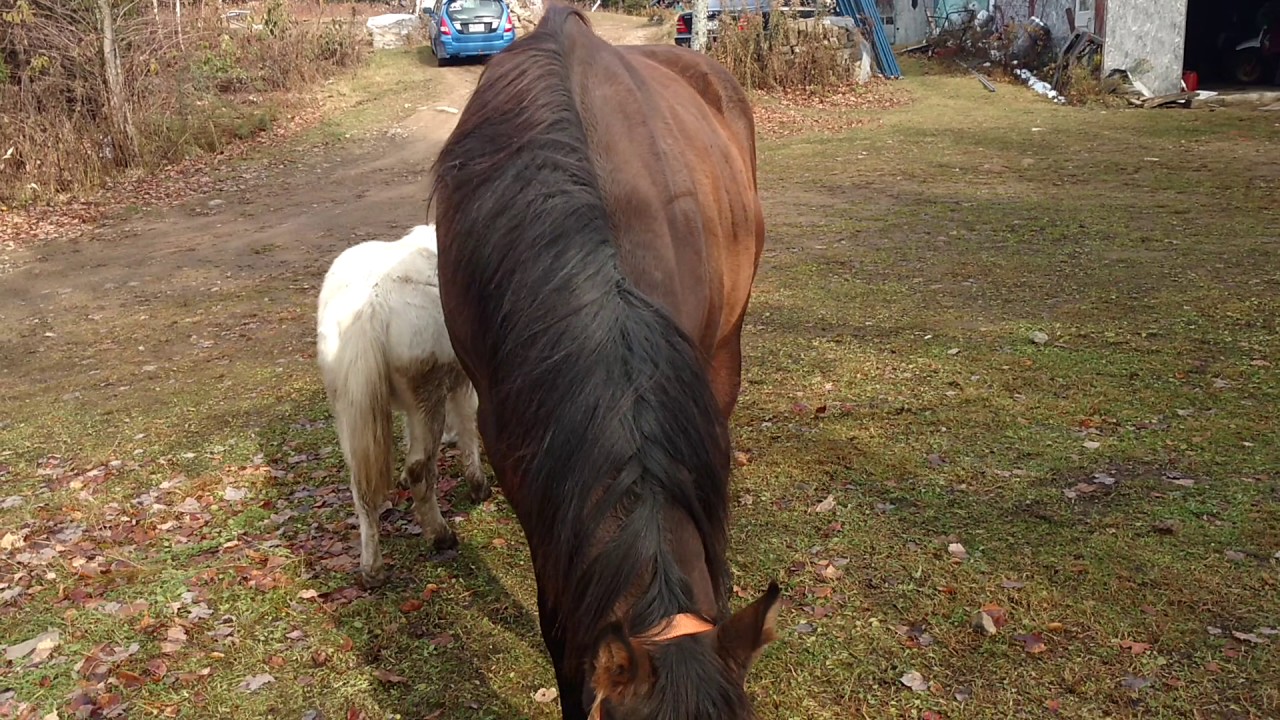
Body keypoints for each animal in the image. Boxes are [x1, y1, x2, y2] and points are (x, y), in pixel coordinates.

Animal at [315, 224, 489, 589]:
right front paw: (479, 486)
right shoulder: (462, 381)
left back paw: (372, 570)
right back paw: (441, 536)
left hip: (348, 409)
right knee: (420, 468)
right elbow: (468, 424)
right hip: (427, 397)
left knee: (361, 485)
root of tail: (370, 307)